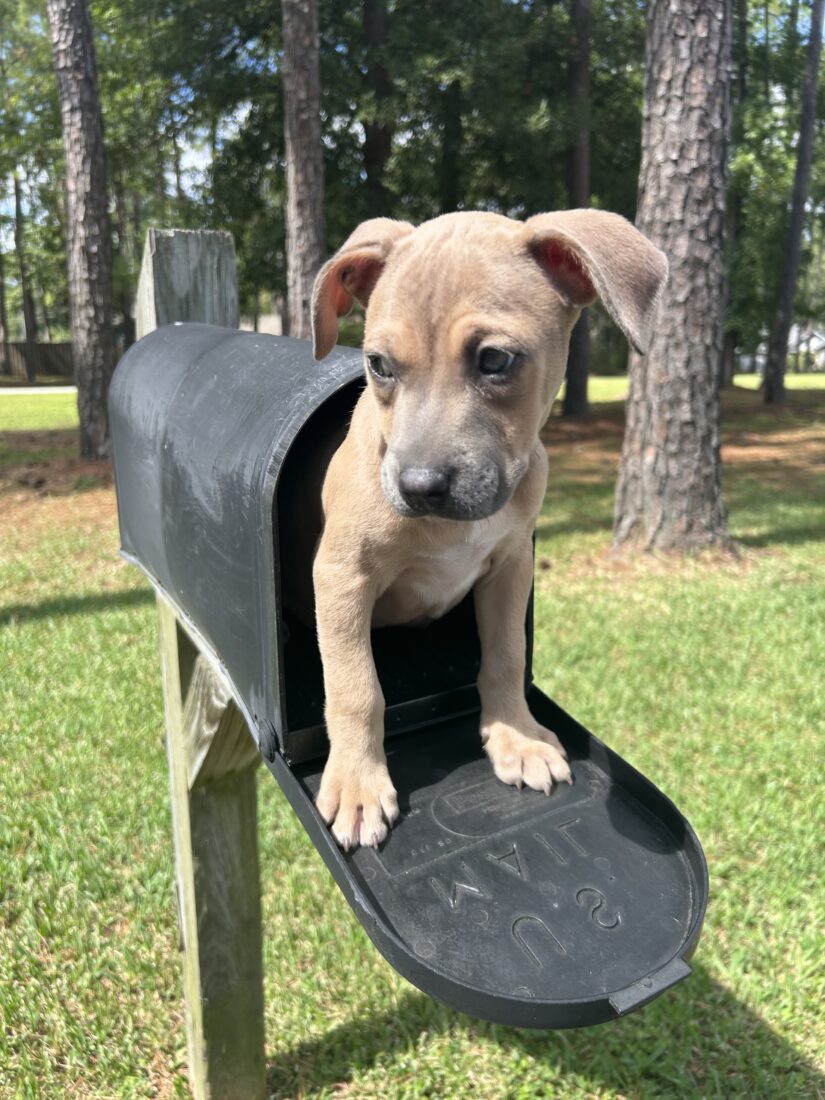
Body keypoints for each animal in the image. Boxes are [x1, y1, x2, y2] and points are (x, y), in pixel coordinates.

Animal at [312, 212, 673, 849]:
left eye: (496, 360)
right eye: (378, 365)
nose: (418, 487)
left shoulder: (511, 566)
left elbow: (506, 654)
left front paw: (516, 737)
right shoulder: (341, 577)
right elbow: (356, 687)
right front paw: (358, 782)